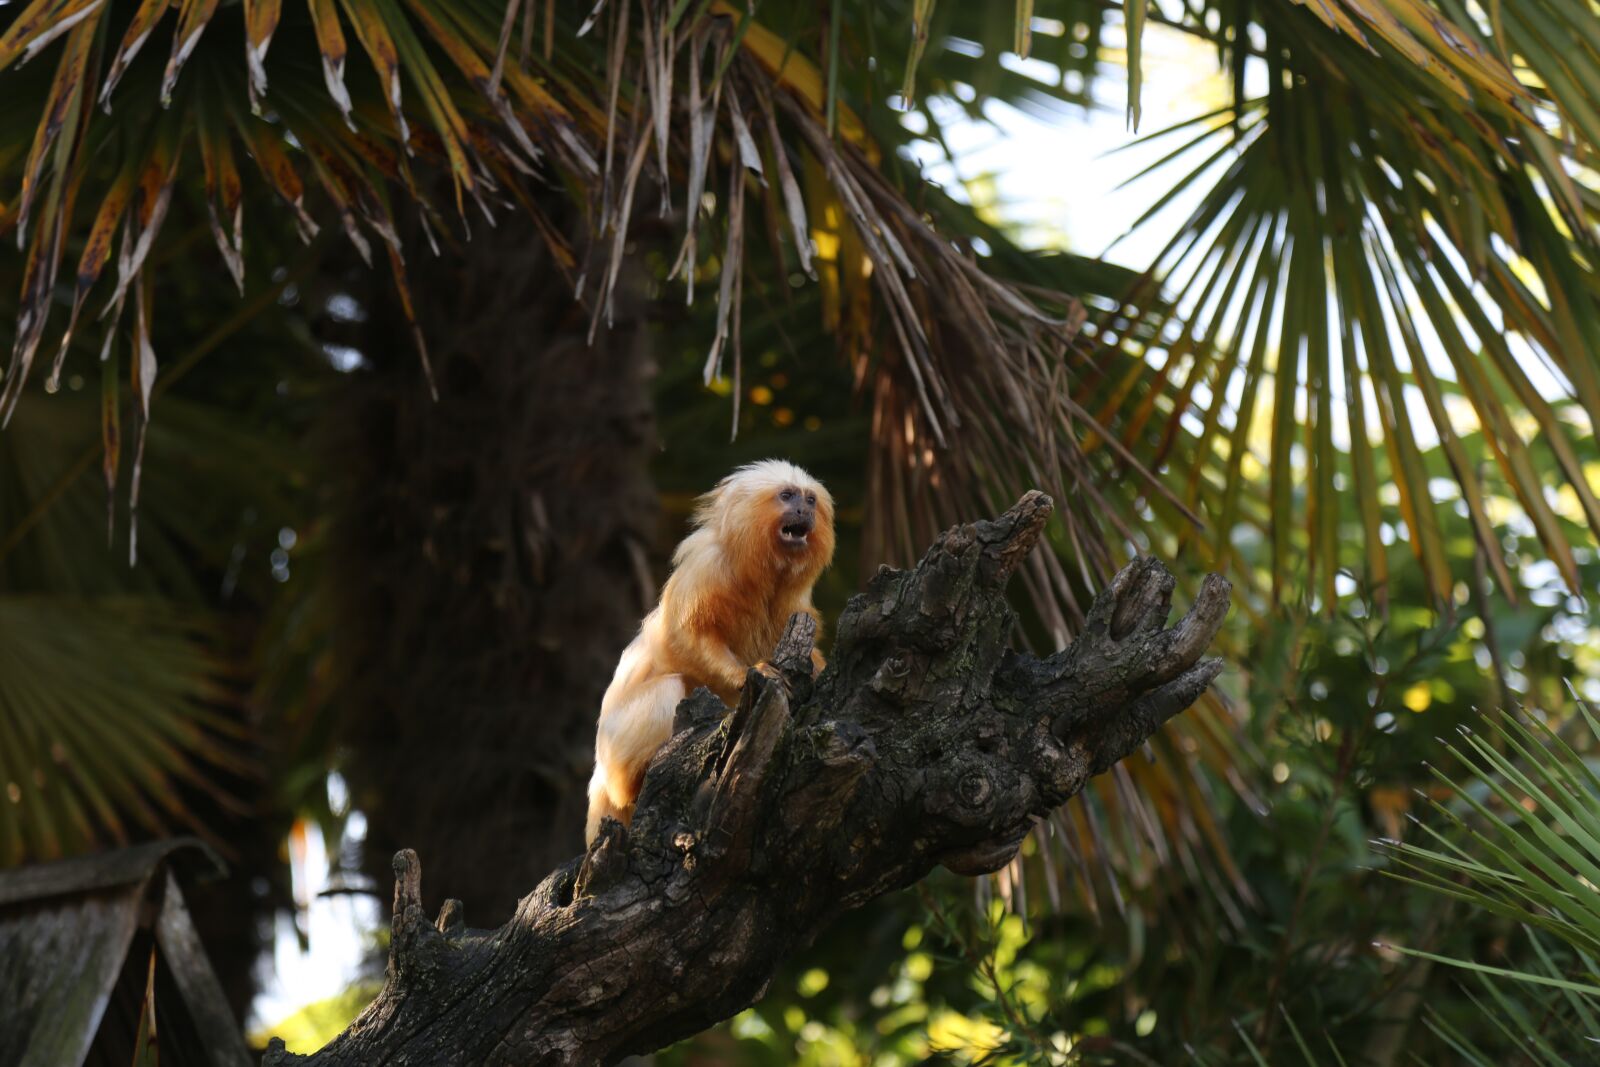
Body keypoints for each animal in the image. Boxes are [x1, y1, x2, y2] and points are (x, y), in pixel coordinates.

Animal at [585, 460, 835, 844]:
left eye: (810, 500)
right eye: (787, 496)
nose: (803, 511)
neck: (761, 575)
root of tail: (599, 772)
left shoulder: (794, 603)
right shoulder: (706, 571)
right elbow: (688, 637)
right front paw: (751, 673)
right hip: (616, 747)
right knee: (668, 688)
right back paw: (634, 783)